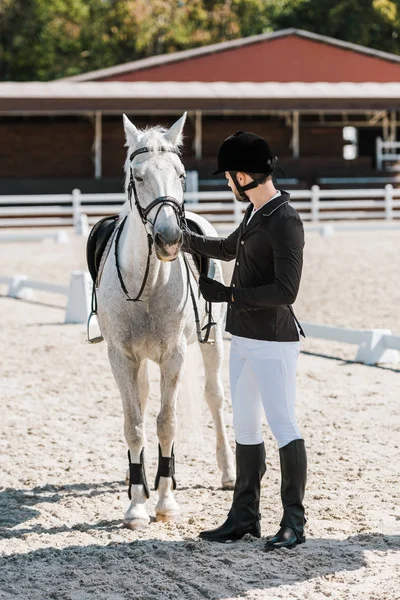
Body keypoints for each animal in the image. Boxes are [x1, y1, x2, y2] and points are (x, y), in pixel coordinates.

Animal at [97, 113, 234, 528]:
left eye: (181, 175)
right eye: (137, 176)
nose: (171, 239)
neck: (148, 282)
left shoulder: (174, 355)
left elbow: (167, 423)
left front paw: (166, 501)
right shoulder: (121, 357)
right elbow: (135, 424)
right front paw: (136, 504)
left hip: (211, 342)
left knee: (214, 397)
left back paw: (226, 473)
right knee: (142, 403)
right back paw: (138, 479)